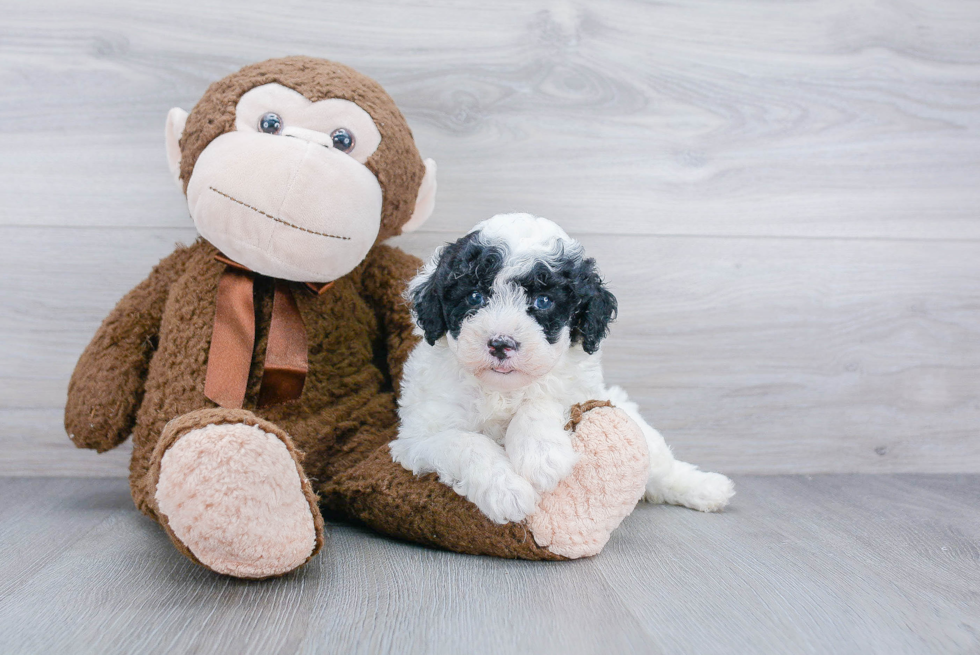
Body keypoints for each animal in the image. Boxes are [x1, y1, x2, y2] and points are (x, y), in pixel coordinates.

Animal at [386, 213, 732, 524]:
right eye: (474, 296)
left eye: (543, 301)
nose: (500, 344)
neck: (502, 391)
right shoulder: (418, 437)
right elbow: (467, 443)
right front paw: (507, 491)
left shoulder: (581, 389)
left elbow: (543, 399)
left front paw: (542, 455)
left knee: (662, 469)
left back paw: (708, 489)